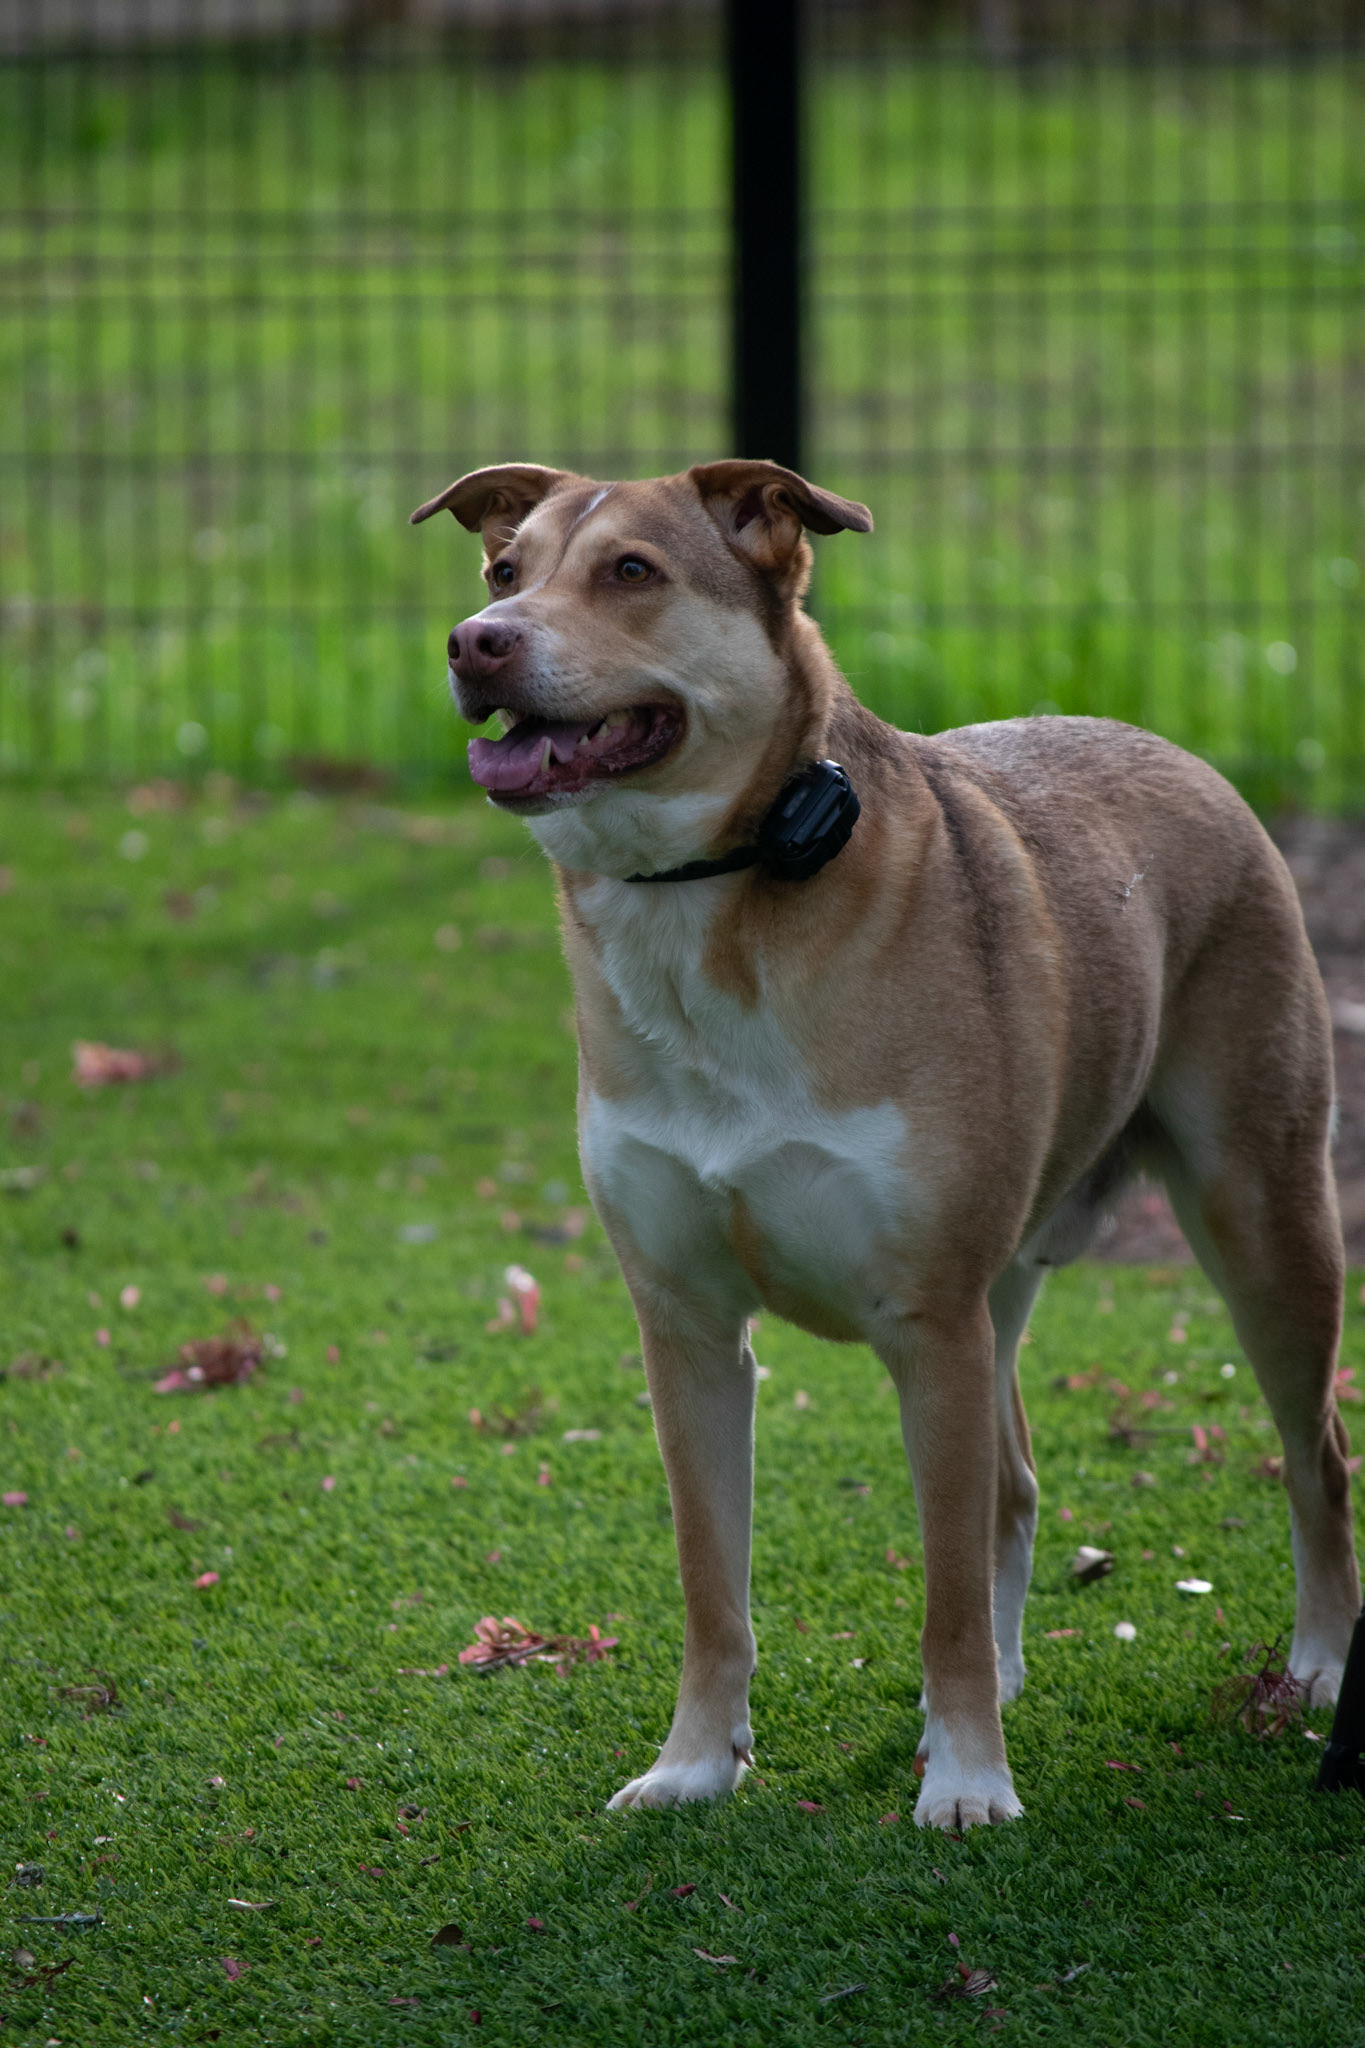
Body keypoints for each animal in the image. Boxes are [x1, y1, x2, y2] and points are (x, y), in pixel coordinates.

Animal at [413, 457, 1359, 1829]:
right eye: (502, 570)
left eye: (632, 572)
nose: (475, 641)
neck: (713, 901)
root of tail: (1176, 749)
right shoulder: (687, 1328)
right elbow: (711, 1584)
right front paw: (695, 1762)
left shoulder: (927, 1320)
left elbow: (945, 1593)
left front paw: (965, 1778)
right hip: (1008, 1275)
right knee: (1017, 1481)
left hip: (1261, 1214)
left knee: (1314, 1453)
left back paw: (1321, 1663)